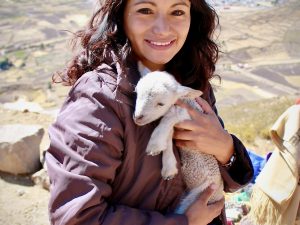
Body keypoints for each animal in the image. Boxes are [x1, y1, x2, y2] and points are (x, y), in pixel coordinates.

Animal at [133, 71, 223, 214]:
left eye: (161, 104)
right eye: (136, 93)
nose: (138, 118)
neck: (184, 100)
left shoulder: (187, 115)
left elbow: (169, 117)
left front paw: (155, 144)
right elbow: (168, 138)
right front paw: (168, 167)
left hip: (195, 196)